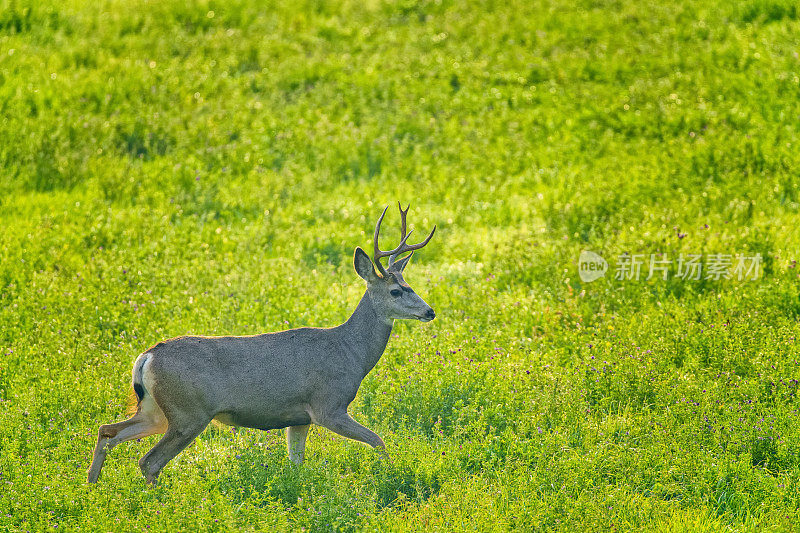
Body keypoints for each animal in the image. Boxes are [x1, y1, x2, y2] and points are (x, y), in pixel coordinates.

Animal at [86, 202, 438, 484]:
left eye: (410, 284)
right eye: (396, 291)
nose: (429, 311)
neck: (351, 352)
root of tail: (147, 357)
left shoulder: (299, 417)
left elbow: (296, 463)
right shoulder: (328, 404)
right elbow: (378, 440)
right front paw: (392, 473)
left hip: (156, 409)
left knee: (108, 430)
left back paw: (92, 489)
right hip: (189, 412)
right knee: (148, 461)